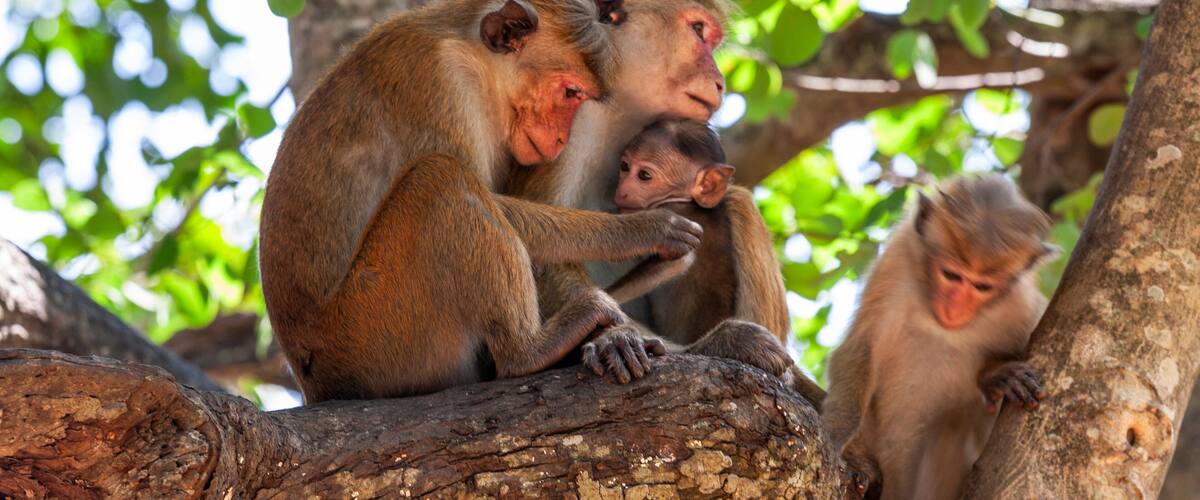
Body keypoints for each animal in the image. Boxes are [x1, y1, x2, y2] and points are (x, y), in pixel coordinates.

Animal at [259, 0, 707, 403]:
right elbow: (491, 198)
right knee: (442, 179)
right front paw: (645, 230)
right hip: (370, 334)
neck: (476, 57)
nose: (563, 137)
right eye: (571, 92)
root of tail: (315, 382)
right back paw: (529, 351)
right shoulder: (439, 77)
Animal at [820, 174, 1056, 500]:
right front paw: (834, 432)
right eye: (952, 275)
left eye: (982, 286)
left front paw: (997, 375)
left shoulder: (1020, 305)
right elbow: (860, 349)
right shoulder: (896, 265)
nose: (955, 307)